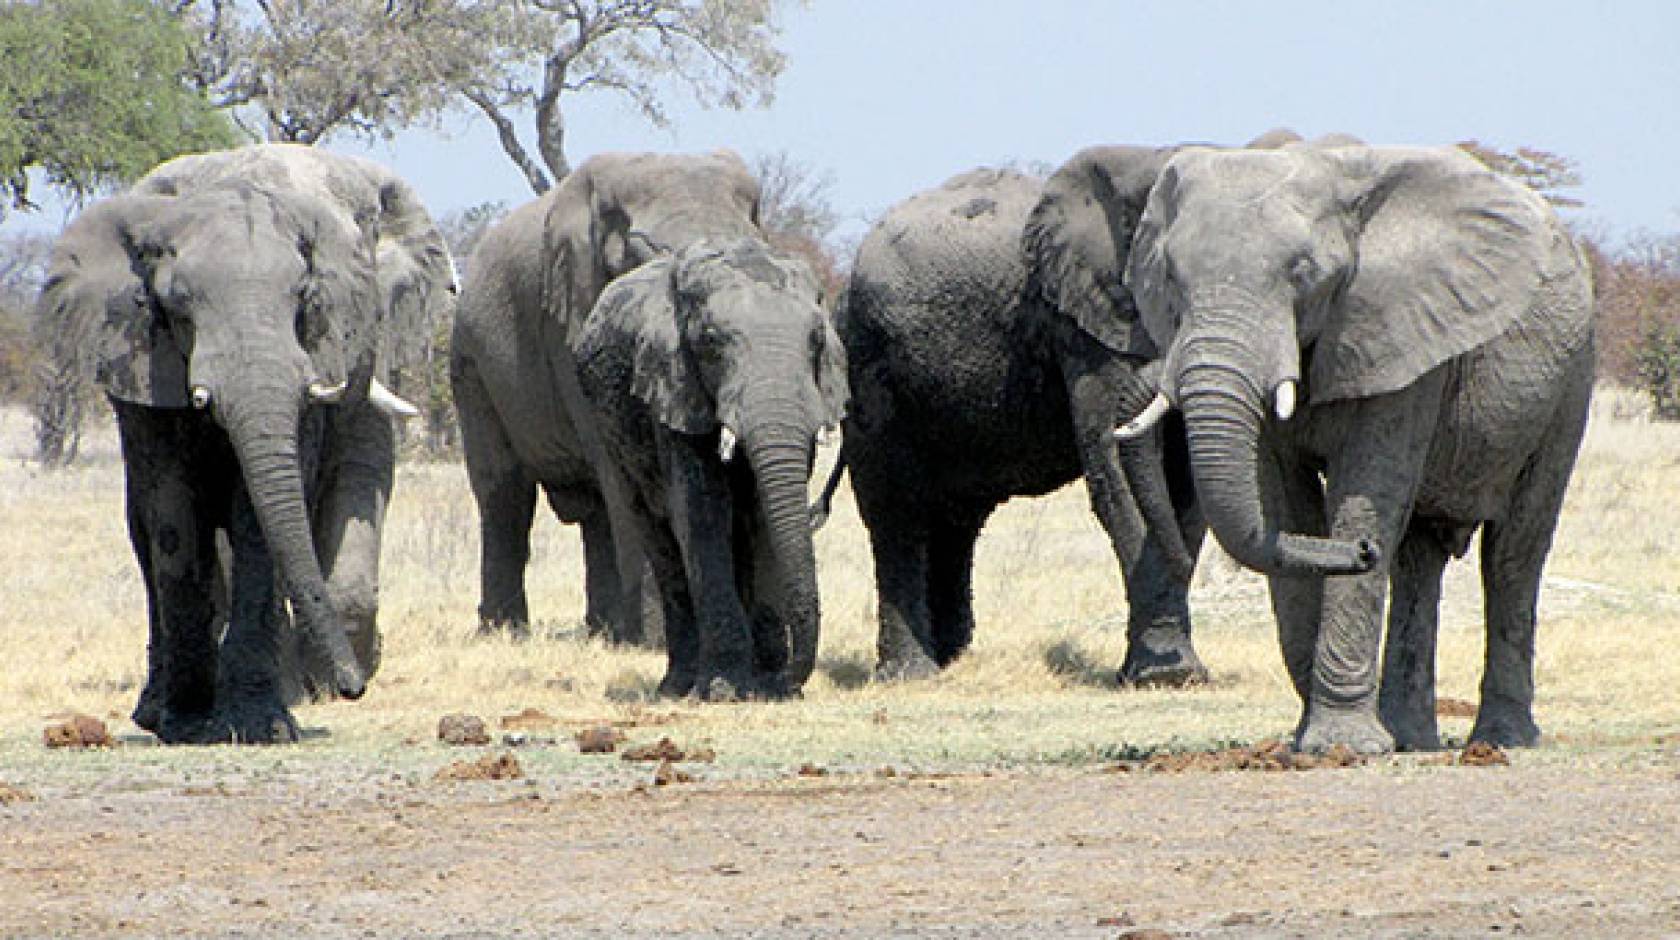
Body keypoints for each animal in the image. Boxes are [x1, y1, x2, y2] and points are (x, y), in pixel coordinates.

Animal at [36, 143, 456, 743]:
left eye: (306, 300)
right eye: (178, 308)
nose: (353, 688)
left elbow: (267, 513)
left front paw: (263, 724)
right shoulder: (149, 364)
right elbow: (174, 513)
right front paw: (189, 723)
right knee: (146, 535)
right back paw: (158, 710)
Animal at [451, 151, 767, 647]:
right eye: (642, 257)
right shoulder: (571, 323)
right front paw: (657, 643)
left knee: (594, 510)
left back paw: (606, 629)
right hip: (472, 363)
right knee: (504, 494)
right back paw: (506, 632)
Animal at [574, 238, 847, 699]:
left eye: (815, 340)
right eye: (712, 343)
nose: (793, 681)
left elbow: (761, 513)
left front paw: (769, 687)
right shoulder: (672, 391)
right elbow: (702, 513)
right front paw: (723, 689)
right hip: (609, 433)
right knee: (658, 537)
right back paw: (678, 685)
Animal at [838, 158, 1208, 684]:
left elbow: (1184, 485)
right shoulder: (1086, 328)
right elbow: (1117, 470)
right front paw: (1165, 678)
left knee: (955, 519)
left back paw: (952, 658)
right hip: (869, 363)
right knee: (896, 511)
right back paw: (913, 674)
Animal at [1119, 143, 1595, 754]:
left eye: (1303, 274)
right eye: (1171, 279)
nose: (1361, 552)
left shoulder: (1403, 333)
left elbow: (1366, 495)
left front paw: (1341, 746)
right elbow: (1282, 509)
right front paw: (1315, 744)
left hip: (1570, 380)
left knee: (1514, 552)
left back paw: (1501, 740)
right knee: (1418, 559)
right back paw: (1410, 737)